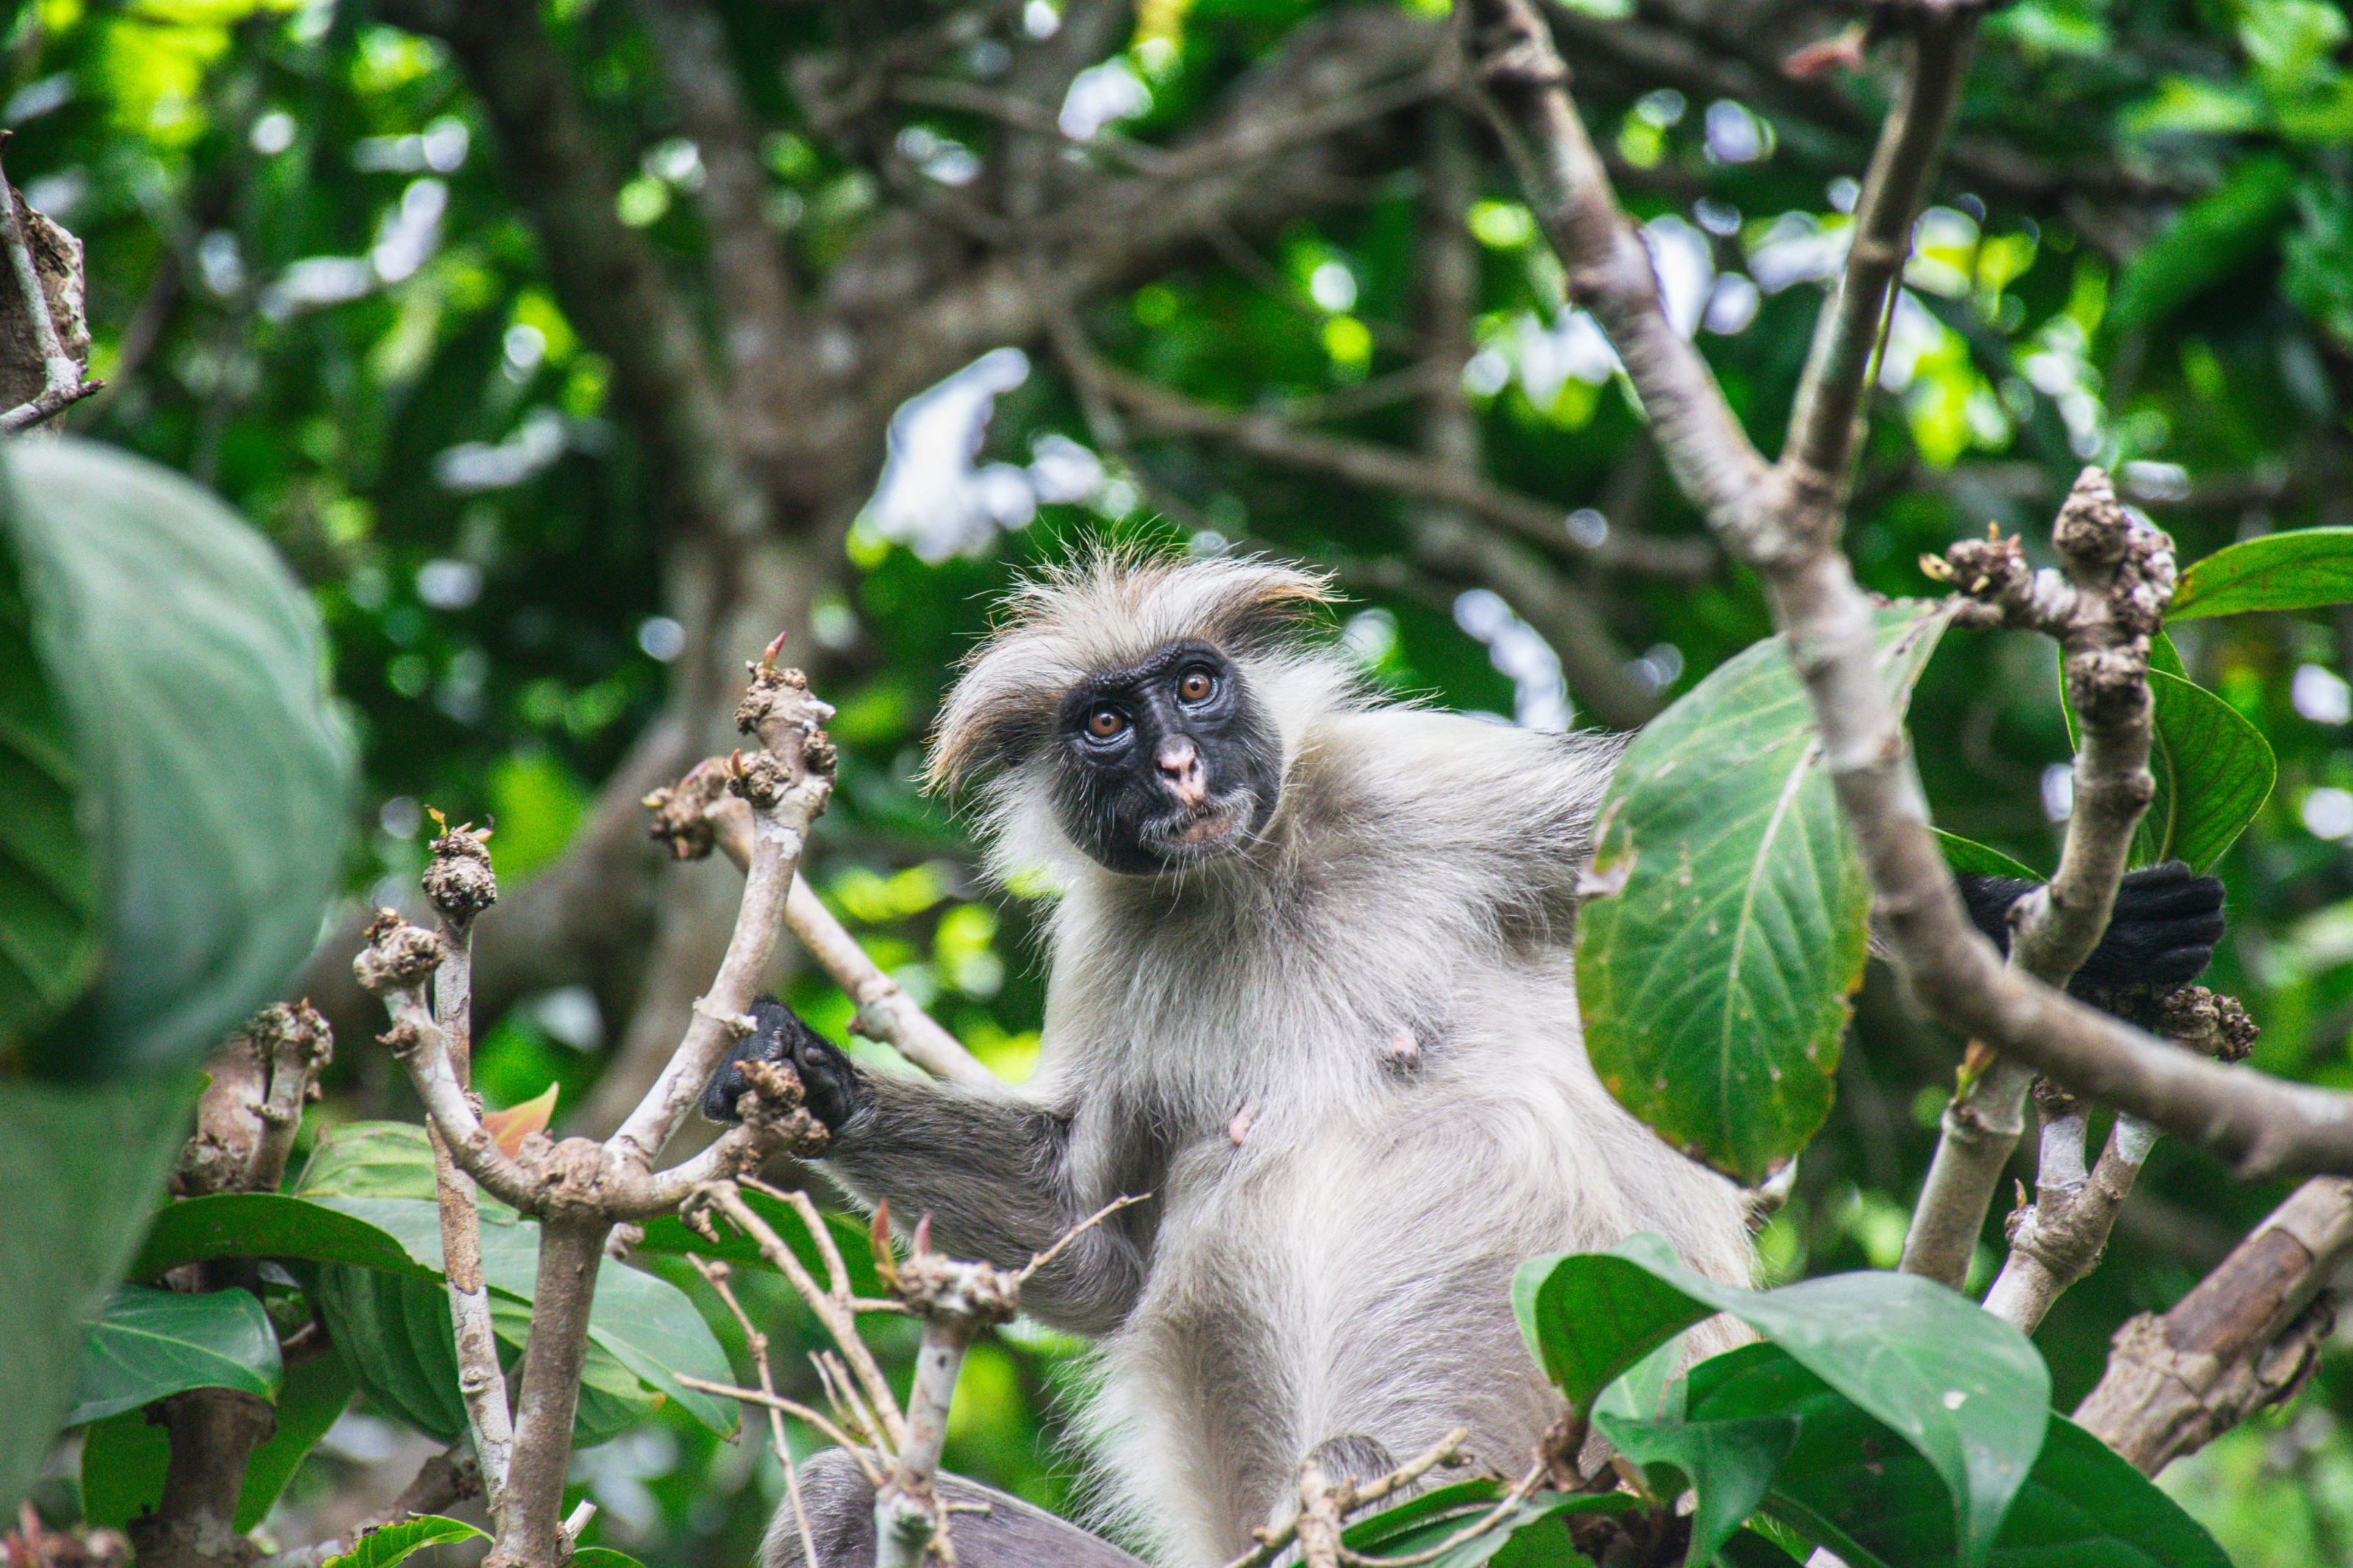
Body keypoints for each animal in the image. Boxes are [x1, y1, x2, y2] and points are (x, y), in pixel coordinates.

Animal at [705, 552, 2225, 1568]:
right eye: (1107, 724)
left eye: (1196, 686)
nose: (1183, 769)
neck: (1253, 881)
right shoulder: (1114, 935)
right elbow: (1094, 1252)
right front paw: (803, 1074)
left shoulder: (1424, 783)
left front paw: (2063, 935)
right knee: (845, 1493)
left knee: (1371, 1464)